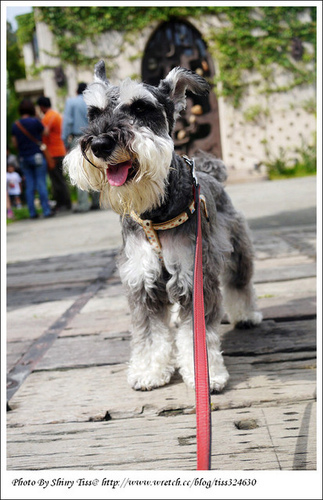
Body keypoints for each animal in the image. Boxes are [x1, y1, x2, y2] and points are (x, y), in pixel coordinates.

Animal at [64, 60, 264, 392]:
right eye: (93, 113)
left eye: (141, 108)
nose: (101, 144)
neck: (154, 214)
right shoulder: (141, 280)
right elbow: (149, 334)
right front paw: (149, 370)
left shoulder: (195, 275)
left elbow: (197, 333)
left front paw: (206, 375)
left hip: (237, 249)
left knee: (240, 282)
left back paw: (246, 315)